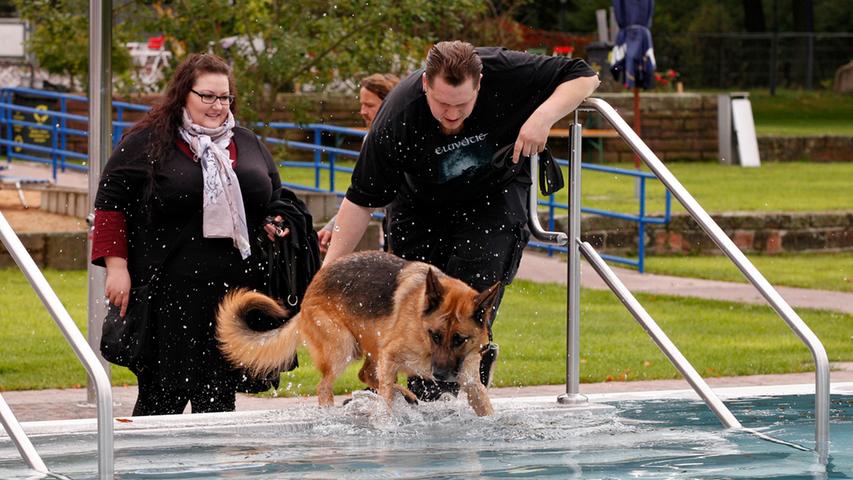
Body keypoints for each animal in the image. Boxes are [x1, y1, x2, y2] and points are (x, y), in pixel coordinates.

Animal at [216, 251, 502, 416]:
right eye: (435, 335)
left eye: (460, 339)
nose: (441, 376)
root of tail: (308, 293)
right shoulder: (390, 355)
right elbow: (385, 401)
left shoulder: (471, 381)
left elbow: (485, 407)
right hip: (343, 348)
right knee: (326, 386)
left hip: (370, 346)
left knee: (365, 374)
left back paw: (403, 394)